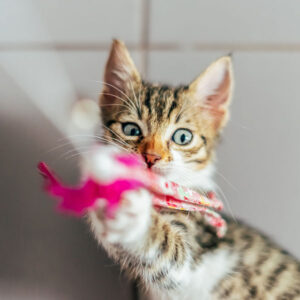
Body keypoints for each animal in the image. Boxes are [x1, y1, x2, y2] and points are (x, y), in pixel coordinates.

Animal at [87, 40, 300, 300]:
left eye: (182, 137)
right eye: (131, 129)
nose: (151, 156)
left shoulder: (194, 259)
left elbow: (170, 251)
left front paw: (132, 214)